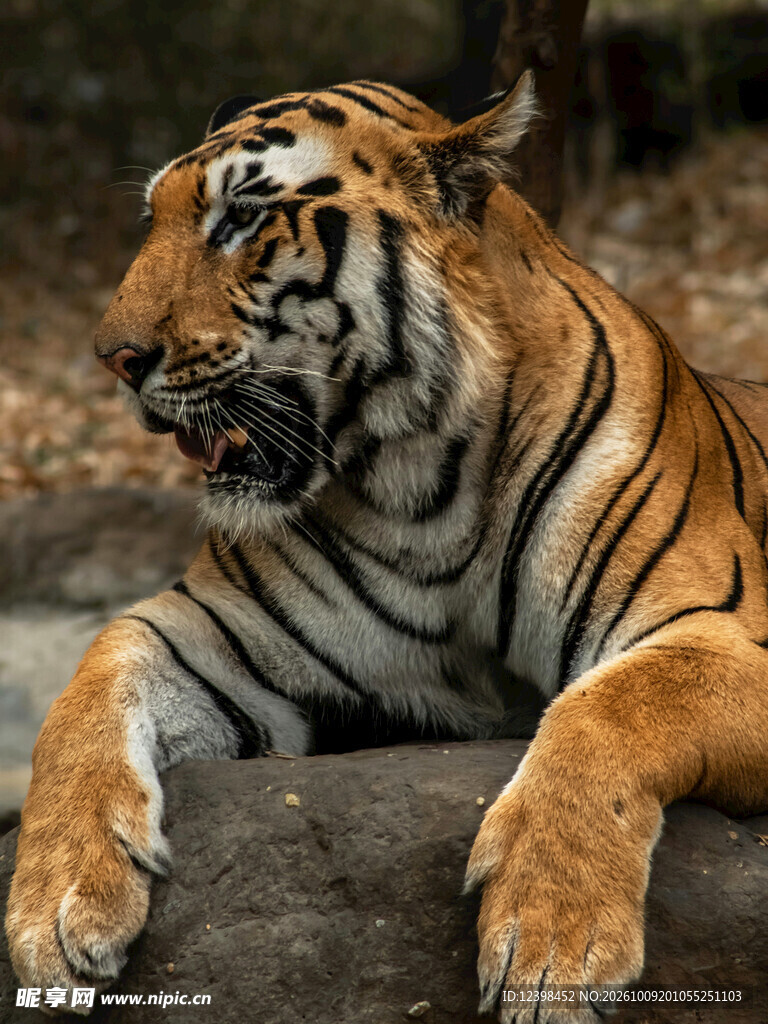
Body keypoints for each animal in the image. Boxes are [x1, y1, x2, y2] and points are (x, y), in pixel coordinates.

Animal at [6, 70, 768, 1022]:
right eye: (155, 220)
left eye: (240, 219)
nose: (114, 357)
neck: (421, 488)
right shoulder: (211, 634)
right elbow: (81, 701)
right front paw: (53, 909)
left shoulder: (720, 631)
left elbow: (606, 710)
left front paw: (551, 944)